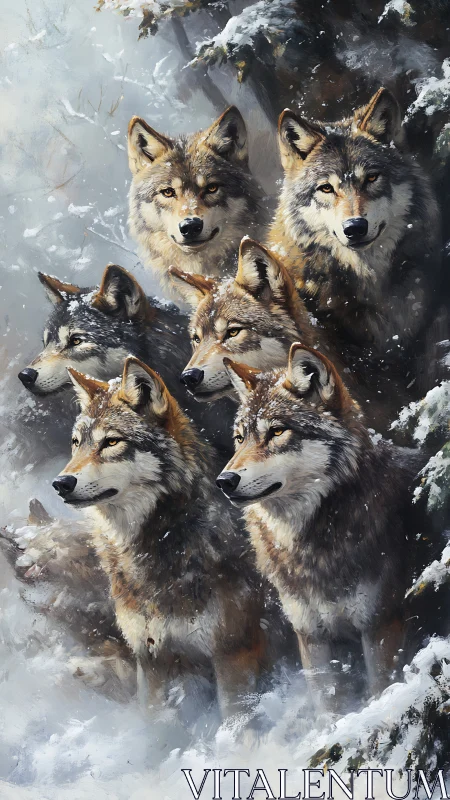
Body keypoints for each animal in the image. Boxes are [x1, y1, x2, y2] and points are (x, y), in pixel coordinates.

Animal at [51, 357, 295, 720]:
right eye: (76, 443)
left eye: (111, 442)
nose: (61, 483)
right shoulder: (151, 659)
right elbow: (154, 720)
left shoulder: (234, 653)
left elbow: (236, 723)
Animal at [216, 344, 427, 700]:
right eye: (240, 438)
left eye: (277, 431)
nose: (224, 481)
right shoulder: (311, 636)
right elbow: (327, 704)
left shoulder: (381, 625)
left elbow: (380, 691)